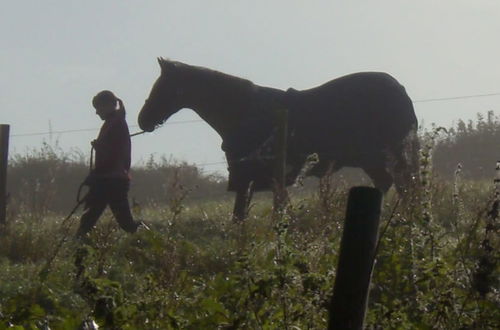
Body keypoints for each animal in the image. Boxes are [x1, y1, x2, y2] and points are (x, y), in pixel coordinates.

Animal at [139, 58, 420, 220]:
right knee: (392, 185)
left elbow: (245, 216)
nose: (143, 120)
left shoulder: (249, 178)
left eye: (161, 87)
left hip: (379, 156)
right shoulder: (264, 181)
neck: (244, 112)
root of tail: (400, 90)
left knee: (401, 186)